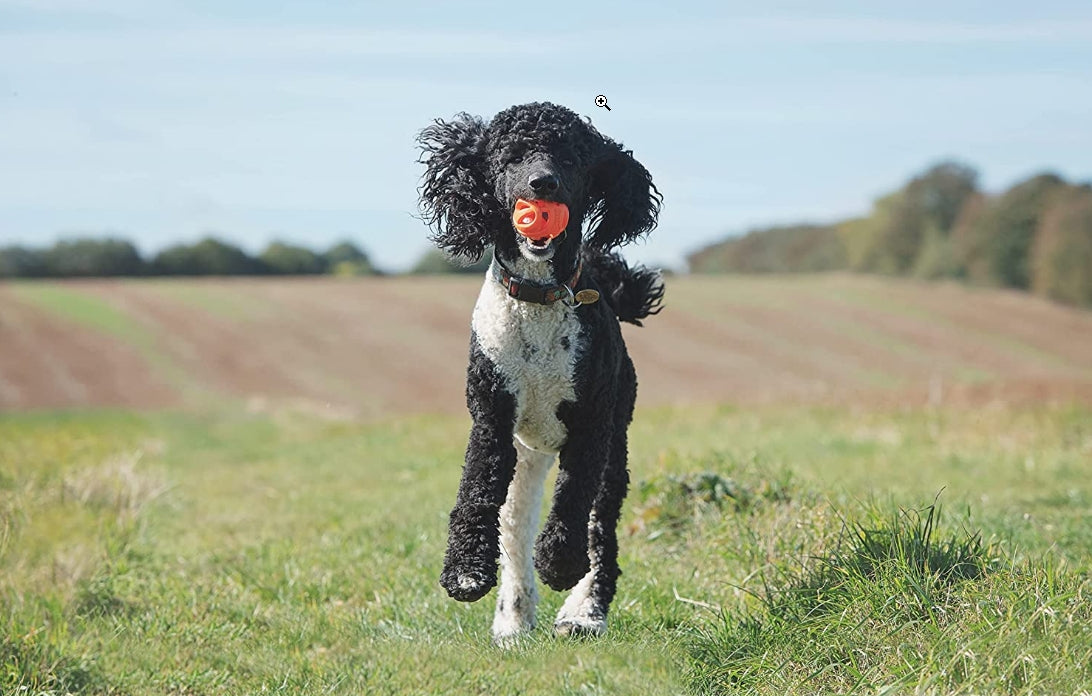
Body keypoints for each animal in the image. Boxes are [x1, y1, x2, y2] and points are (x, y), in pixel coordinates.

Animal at [414, 101, 659, 642]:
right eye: (509, 157)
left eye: (571, 157)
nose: (541, 183)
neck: (538, 299)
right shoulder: (491, 418)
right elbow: (476, 490)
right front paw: (465, 571)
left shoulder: (591, 425)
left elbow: (573, 499)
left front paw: (560, 563)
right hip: (525, 458)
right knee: (514, 530)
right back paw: (514, 616)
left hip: (616, 446)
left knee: (601, 531)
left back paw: (583, 612)